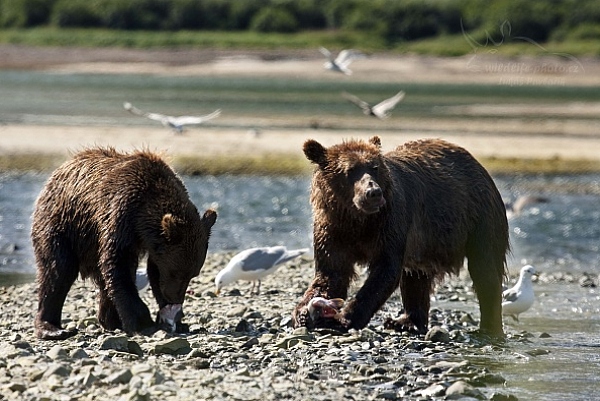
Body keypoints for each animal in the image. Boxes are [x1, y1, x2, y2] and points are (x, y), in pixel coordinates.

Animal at [31, 145, 218, 340]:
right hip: (62, 223)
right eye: (176, 272)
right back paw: (52, 328)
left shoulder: (154, 243)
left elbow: (152, 270)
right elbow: (118, 264)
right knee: (59, 270)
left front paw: (177, 321)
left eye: (192, 274)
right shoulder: (120, 216)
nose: (175, 299)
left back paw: (111, 320)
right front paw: (144, 323)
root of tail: (59, 170)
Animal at [292, 136, 508, 336]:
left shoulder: (391, 220)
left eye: (375, 167)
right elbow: (332, 272)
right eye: (350, 170)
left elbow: (386, 269)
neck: (358, 219)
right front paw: (304, 312)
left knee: (485, 270)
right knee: (416, 278)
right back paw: (406, 322)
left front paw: (343, 319)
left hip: (478, 218)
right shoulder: (332, 228)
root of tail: (479, 166)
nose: (373, 192)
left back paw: (490, 327)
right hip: (427, 244)